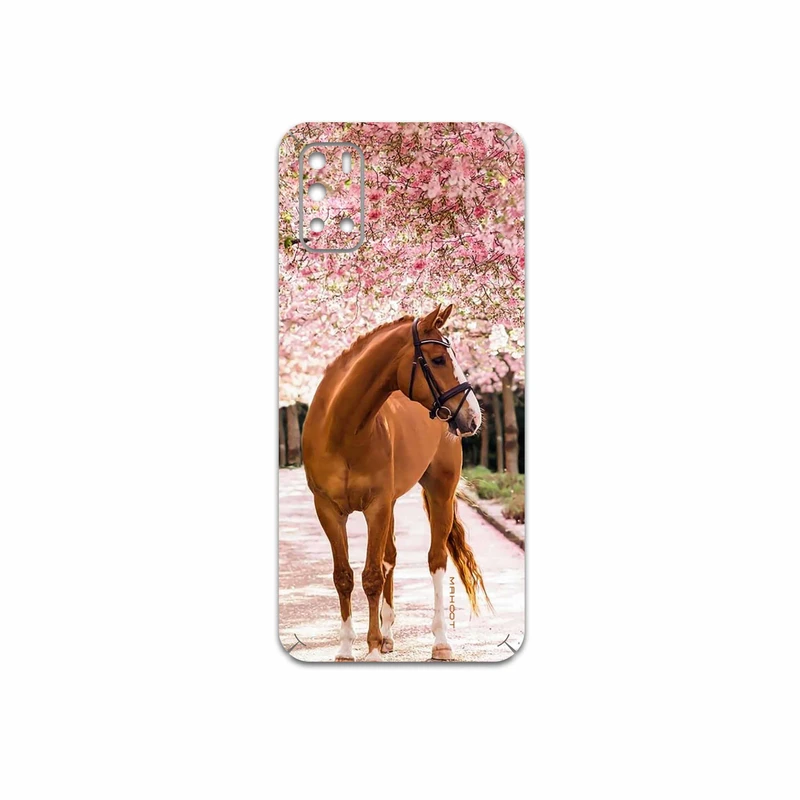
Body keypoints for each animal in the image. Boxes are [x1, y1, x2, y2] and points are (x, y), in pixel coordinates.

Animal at [301, 303, 491, 662]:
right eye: (438, 359)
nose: (473, 416)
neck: (342, 432)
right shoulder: (329, 510)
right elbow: (344, 576)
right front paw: (347, 648)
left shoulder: (376, 507)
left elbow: (372, 576)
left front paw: (372, 648)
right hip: (390, 504)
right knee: (390, 557)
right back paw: (389, 635)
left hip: (440, 494)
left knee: (435, 560)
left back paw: (440, 642)